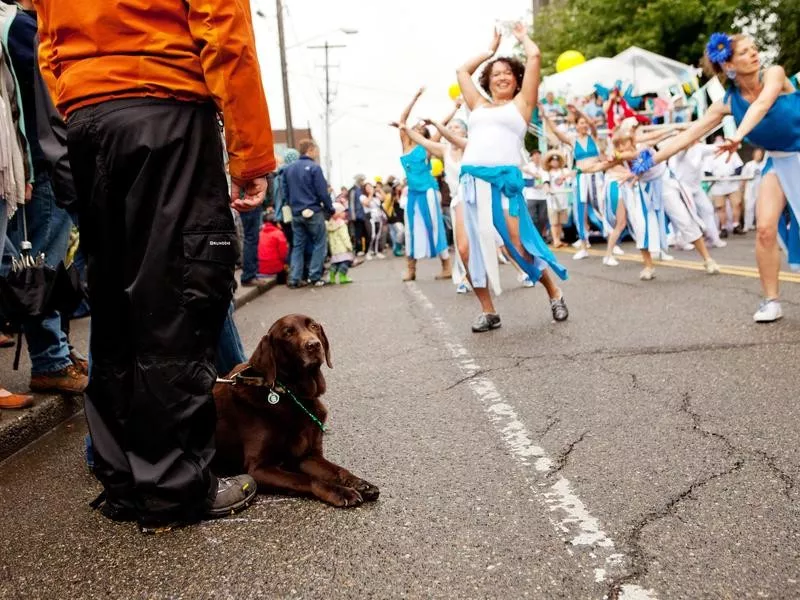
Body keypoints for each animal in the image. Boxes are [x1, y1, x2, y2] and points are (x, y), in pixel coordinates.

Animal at [212, 314, 382, 506]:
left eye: (314, 326)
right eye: (287, 333)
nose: (314, 345)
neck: (291, 395)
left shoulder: (306, 456)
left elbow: (338, 470)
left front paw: (361, 484)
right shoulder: (257, 469)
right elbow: (306, 479)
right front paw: (341, 492)